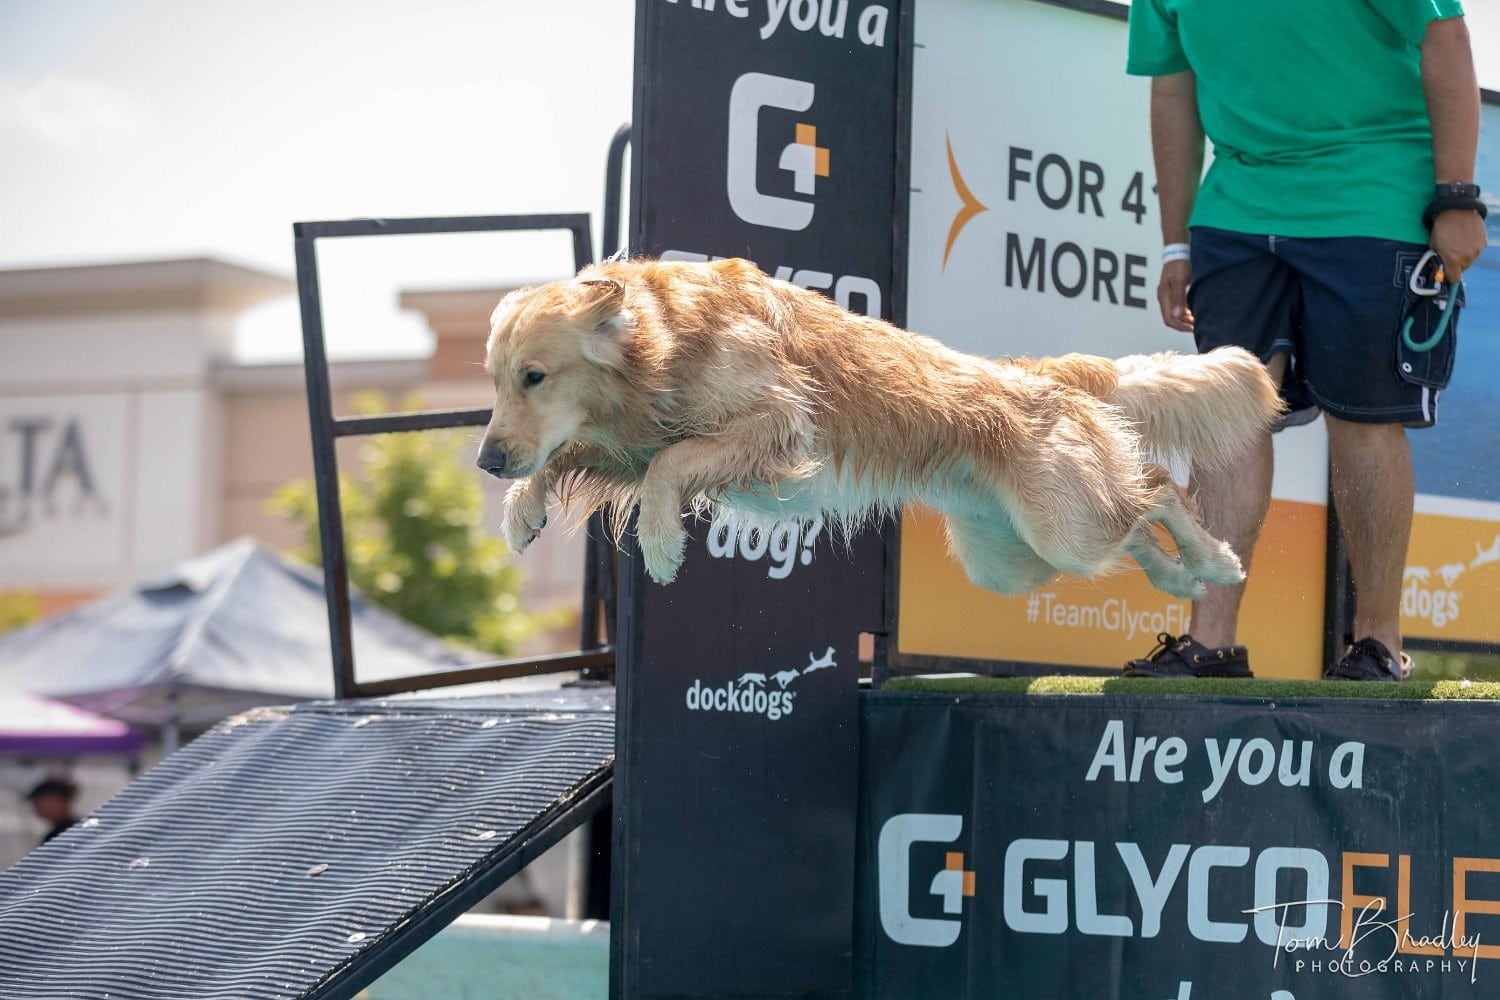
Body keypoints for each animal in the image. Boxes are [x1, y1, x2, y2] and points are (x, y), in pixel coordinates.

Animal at [474, 260, 1284, 602]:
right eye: (495, 378)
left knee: (1157, 490)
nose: (484, 459)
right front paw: (522, 512)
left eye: (535, 376)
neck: (664, 339)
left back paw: (1214, 561)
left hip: (1064, 526)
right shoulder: (629, 439)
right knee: (1135, 528)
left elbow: (672, 464)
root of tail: (1039, 372)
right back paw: (1179, 577)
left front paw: (663, 544)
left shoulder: (779, 424)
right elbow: (583, 456)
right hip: (1012, 557)